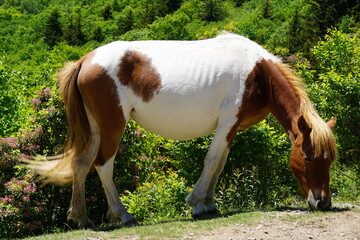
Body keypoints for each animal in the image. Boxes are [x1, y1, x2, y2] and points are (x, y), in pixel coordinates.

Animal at [25, 32, 338, 228]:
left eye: (330, 160)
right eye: (308, 157)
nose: (323, 202)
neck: (257, 72)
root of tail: (86, 60)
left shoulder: (231, 127)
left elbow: (220, 164)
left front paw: (209, 204)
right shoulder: (228, 122)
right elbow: (212, 161)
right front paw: (197, 203)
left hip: (95, 127)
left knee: (80, 164)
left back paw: (82, 218)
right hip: (113, 126)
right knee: (103, 165)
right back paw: (123, 216)